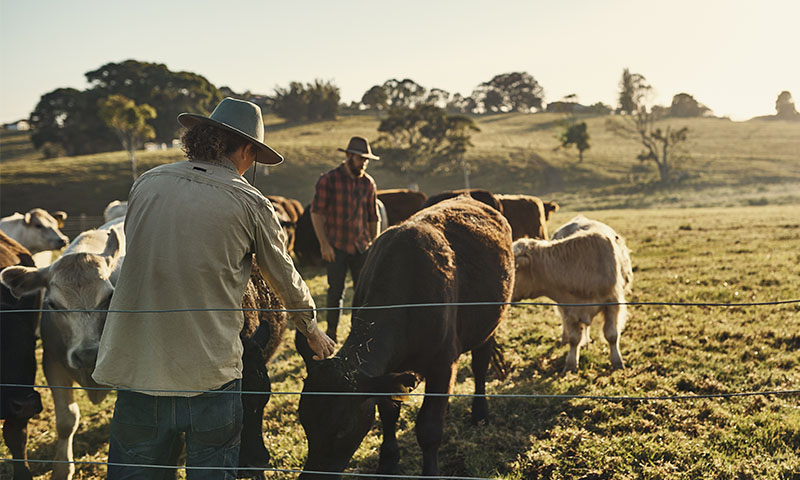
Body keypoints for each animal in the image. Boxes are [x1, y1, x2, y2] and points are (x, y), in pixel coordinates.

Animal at [0, 218, 125, 480]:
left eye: (109, 297)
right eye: (53, 304)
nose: (88, 354)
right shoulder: (53, 365)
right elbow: (67, 420)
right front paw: (61, 469)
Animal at [296, 197, 516, 478]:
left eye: (343, 427)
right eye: (304, 419)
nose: (311, 475)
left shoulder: (443, 363)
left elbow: (429, 428)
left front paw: (430, 471)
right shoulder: (389, 373)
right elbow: (389, 414)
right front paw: (388, 462)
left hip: (488, 326)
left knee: (480, 364)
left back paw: (480, 413)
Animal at [512, 216, 632, 374]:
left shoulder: (613, 303)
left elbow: (612, 335)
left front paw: (617, 362)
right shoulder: (569, 308)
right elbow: (574, 338)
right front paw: (570, 364)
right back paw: (566, 339)